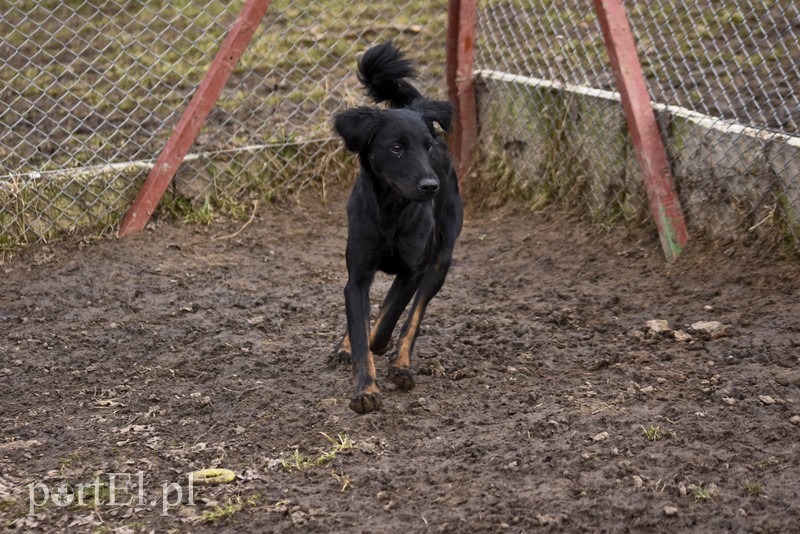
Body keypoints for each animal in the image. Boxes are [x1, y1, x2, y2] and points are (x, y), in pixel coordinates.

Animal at [328, 43, 462, 418]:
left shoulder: (413, 270)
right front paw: (365, 389)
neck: (391, 210)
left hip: (440, 262)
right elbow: (361, 327)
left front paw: (380, 352)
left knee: (412, 317)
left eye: (427, 146)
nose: (431, 186)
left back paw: (401, 365)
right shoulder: (357, 276)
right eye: (396, 147)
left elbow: (385, 322)